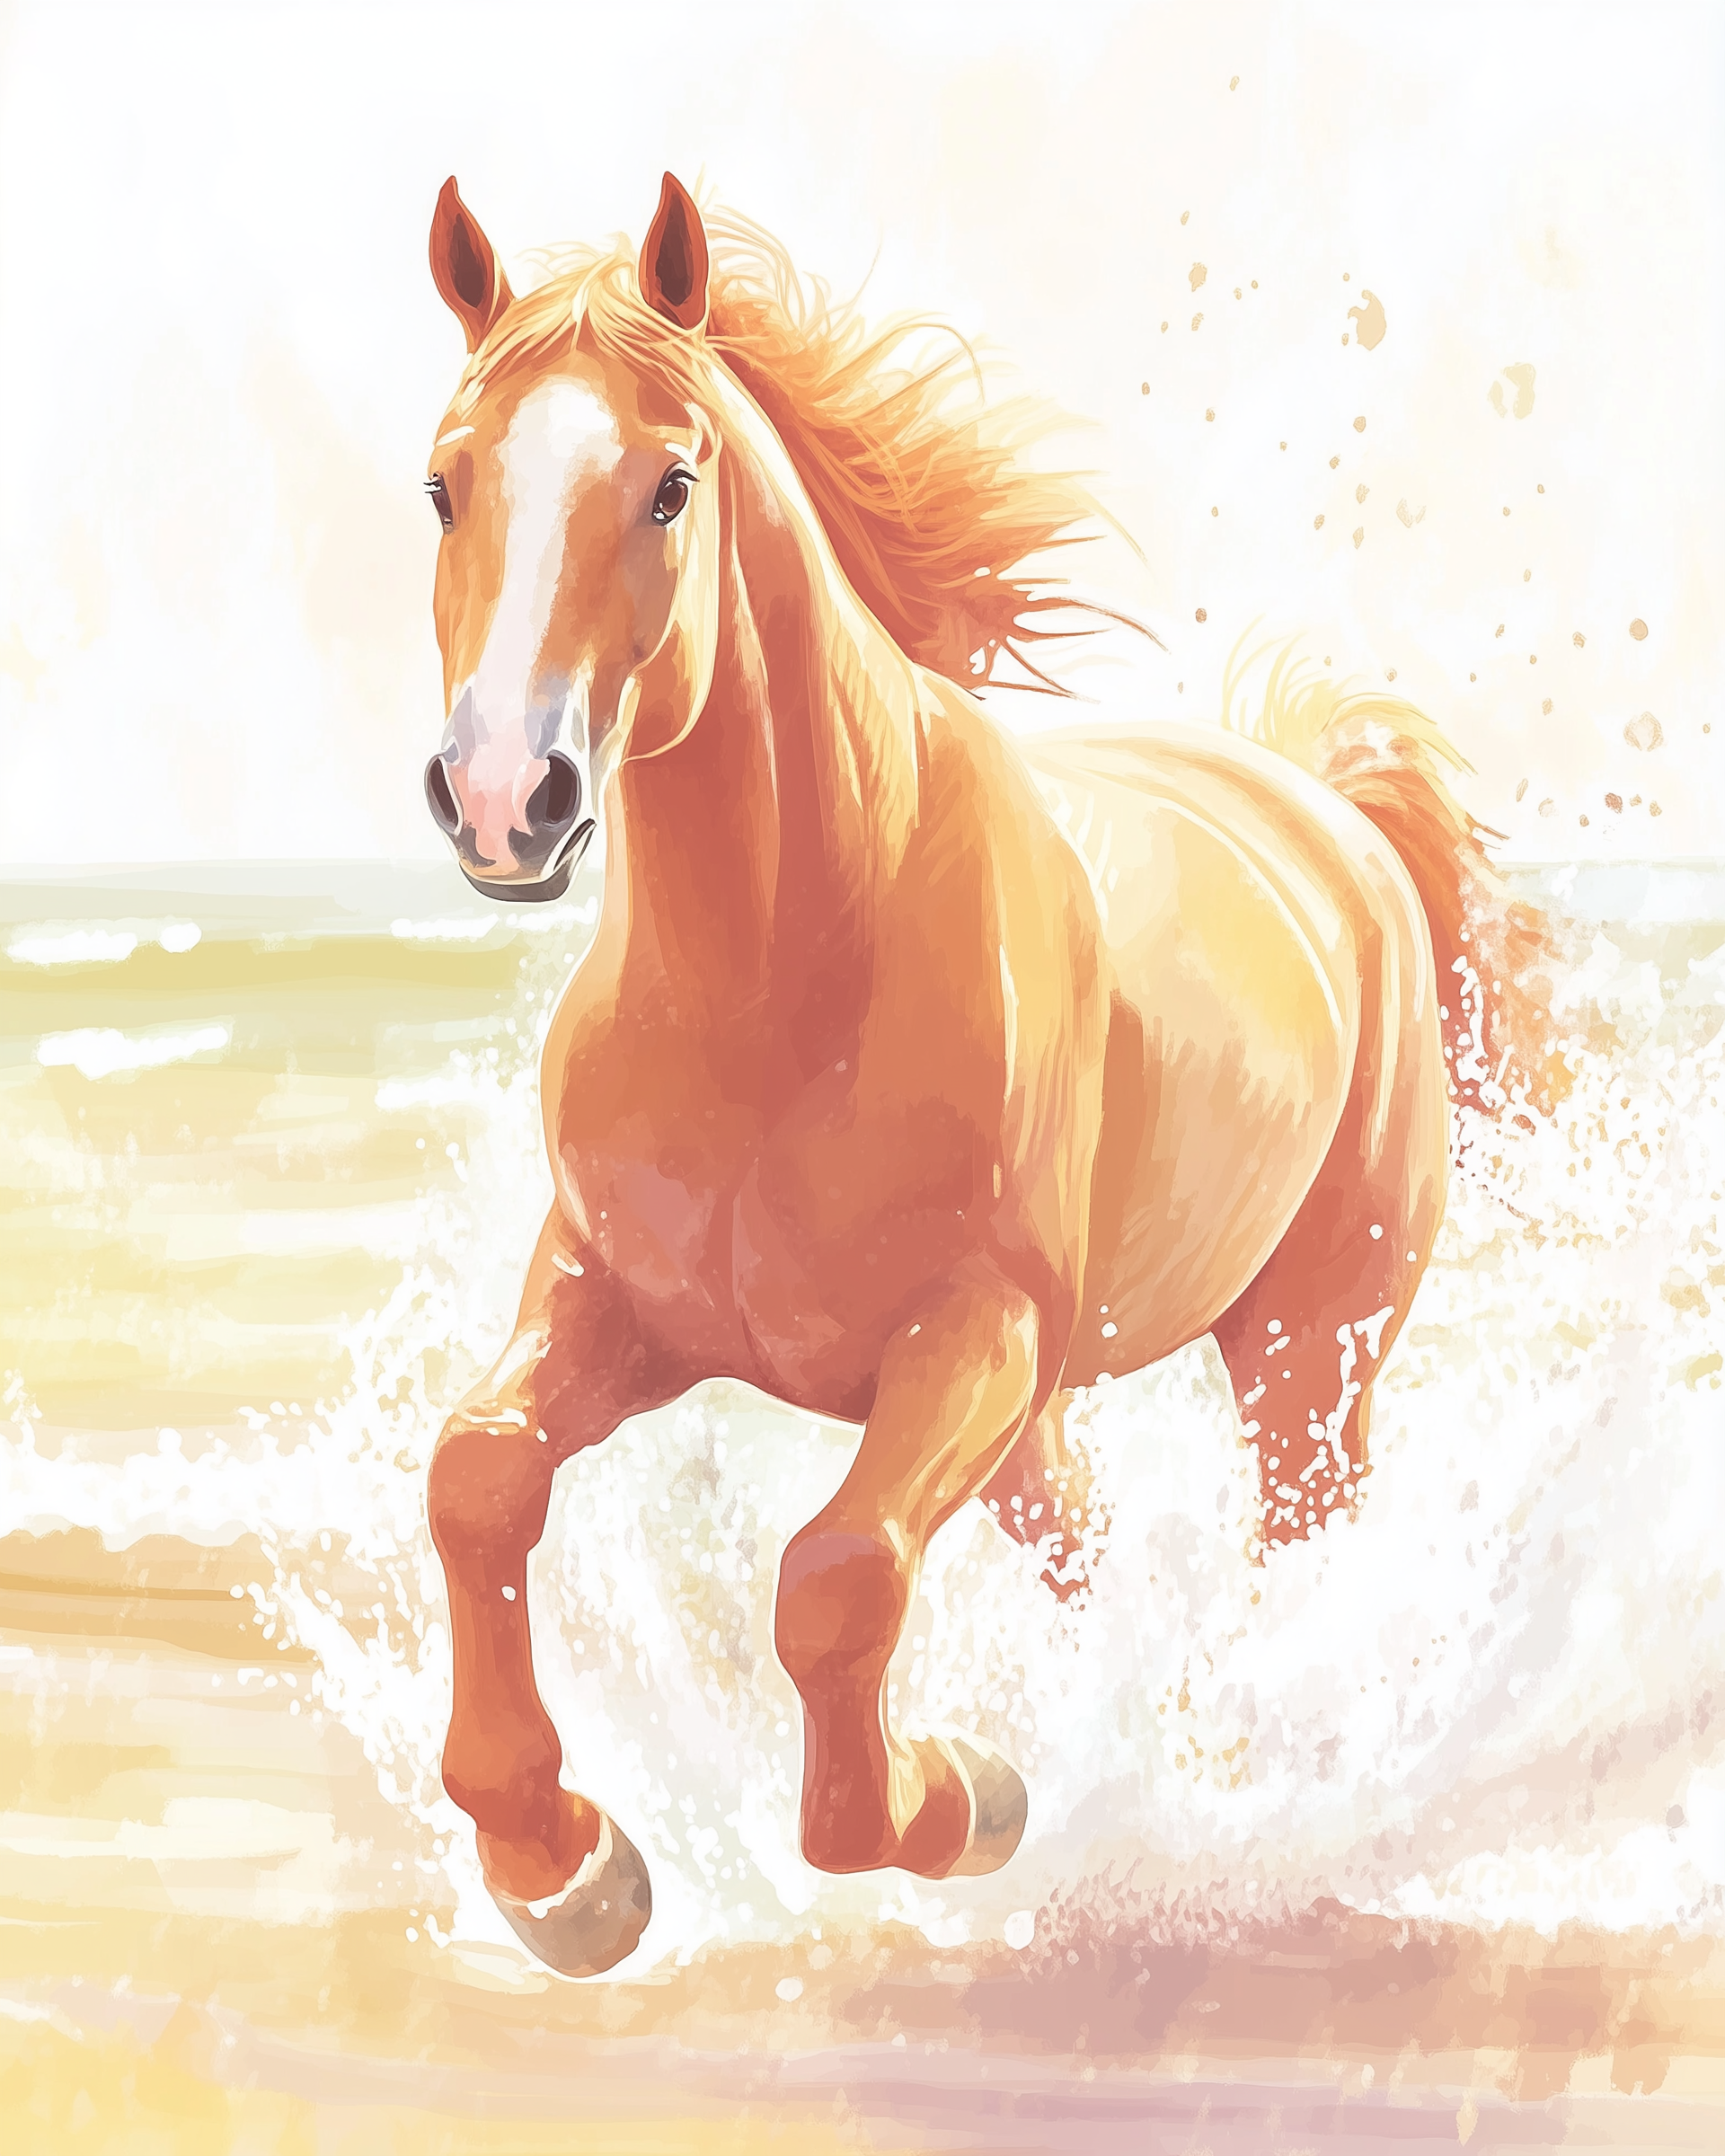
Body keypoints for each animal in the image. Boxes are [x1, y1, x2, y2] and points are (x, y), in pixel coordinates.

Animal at [417, 172, 1562, 1977]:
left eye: (669, 485)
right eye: (445, 482)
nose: (500, 800)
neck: (786, 987)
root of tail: (1332, 815)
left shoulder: (972, 1335)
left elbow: (837, 1582)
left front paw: (960, 1801)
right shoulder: (613, 1296)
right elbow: (479, 1479)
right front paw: (564, 1870)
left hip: (1305, 1357)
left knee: (1294, 1552)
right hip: (1046, 1419)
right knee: (1088, 1559)